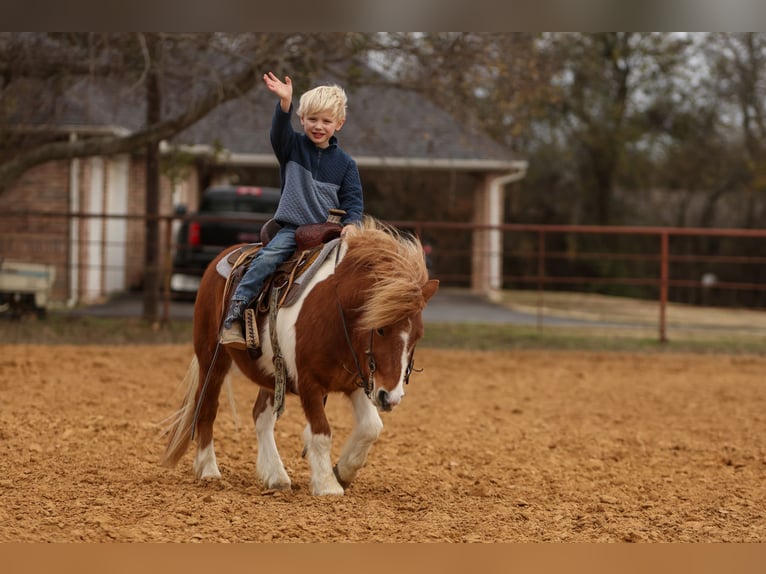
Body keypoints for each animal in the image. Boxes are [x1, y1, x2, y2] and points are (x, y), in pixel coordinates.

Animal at [160, 216, 439, 496]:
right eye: (380, 329)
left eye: (418, 336)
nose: (390, 397)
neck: (336, 314)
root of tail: (223, 257)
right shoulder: (309, 383)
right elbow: (321, 432)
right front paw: (327, 485)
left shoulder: (357, 381)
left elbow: (371, 428)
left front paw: (342, 472)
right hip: (212, 358)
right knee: (207, 407)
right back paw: (208, 469)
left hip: (272, 375)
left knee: (260, 417)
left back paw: (276, 476)